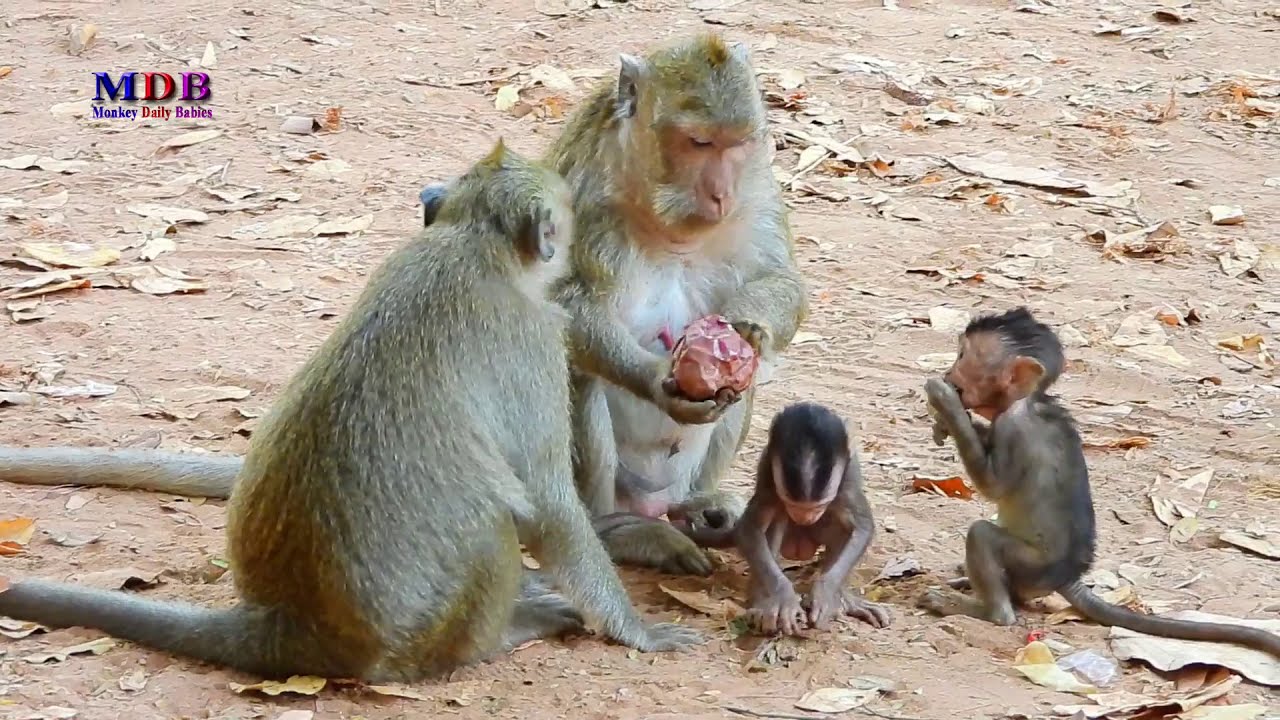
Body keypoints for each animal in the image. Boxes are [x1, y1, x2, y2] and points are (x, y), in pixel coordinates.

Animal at [0, 33, 810, 579]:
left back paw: (700, 510)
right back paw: (623, 531)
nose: (719, 192)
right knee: (570, 375)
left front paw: (740, 335)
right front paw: (658, 380)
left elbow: (781, 285)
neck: (661, 211)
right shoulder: (579, 193)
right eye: (697, 141)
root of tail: (649, 500)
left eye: (737, 145)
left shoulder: (760, 189)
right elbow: (566, 312)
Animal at [0, 140, 703, 682]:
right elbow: (549, 502)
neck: (473, 244)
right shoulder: (533, 341)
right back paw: (501, 634)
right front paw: (637, 630)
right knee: (493, 524)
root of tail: (287, 626)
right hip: (424, 632)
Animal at [669, 403, 891, 636]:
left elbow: (862, 527)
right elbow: (751, 528)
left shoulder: (847, 477)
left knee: (841, 521)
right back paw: (763, 604)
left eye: (818, 506)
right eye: (793, 504)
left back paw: (845, 599)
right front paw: (784, 598)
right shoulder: (768, 471)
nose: (805, 517)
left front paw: (825, 592)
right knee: (776, 519)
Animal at [918, 306, 1280, 658]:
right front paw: (946, 422)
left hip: (1032, 566)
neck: (1031, 401)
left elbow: (992, 486)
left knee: (983, 539)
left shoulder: (1013, 427)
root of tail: (1066, 577)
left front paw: (945, 403)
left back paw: (984, 610)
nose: (949, 374)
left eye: (962, 355)